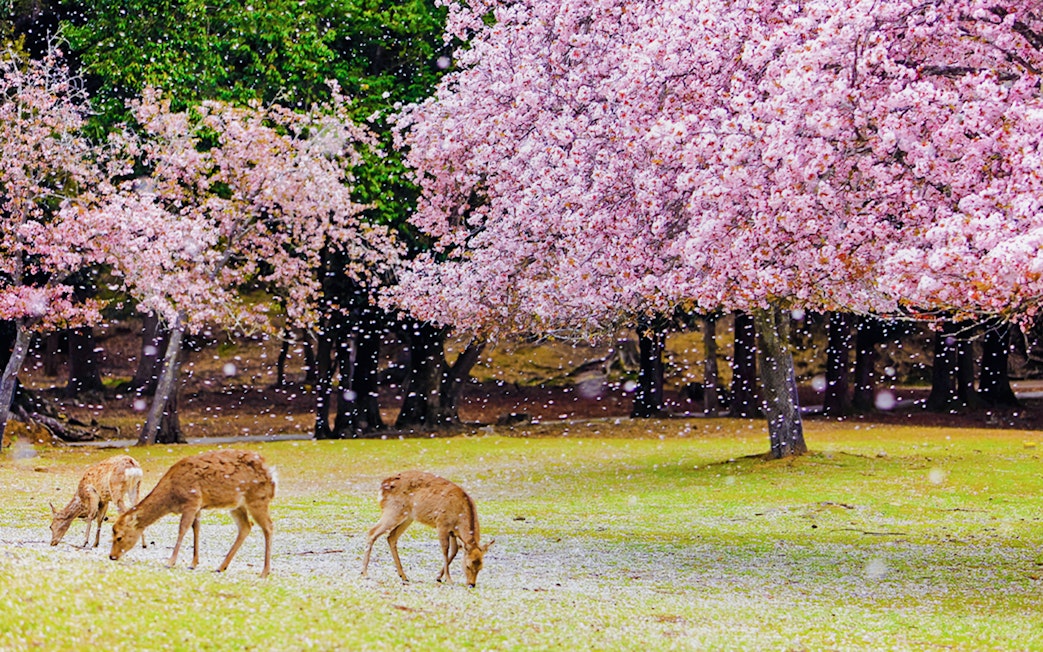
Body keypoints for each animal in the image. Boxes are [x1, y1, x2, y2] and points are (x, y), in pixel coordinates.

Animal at [109, 449, 276, 578]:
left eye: (119, 537)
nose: (112, 556)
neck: (172, 496)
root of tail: (271, 474)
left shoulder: (192, 500)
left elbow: (183, 529)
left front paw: (170, 562)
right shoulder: (198, 507)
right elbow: (196, 528)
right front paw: (193, 563)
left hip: (258, 499)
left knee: (268, 526)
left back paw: (264, 572)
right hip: (236, 505)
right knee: (246, 526)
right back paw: (221, 567)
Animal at [361, 470, 493, 588]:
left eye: (481, 567)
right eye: (467, 566)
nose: (471, 584)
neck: (460, 518)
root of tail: (382, 486)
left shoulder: (452, 531)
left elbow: (454, 550)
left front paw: (439, 577)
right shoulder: (442, 524)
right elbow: (445, 549)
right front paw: (448, 579)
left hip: (407, 517)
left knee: (391, 536)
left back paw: (404, 576)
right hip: (393, 510)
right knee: (372, 532)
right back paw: (364, 573)